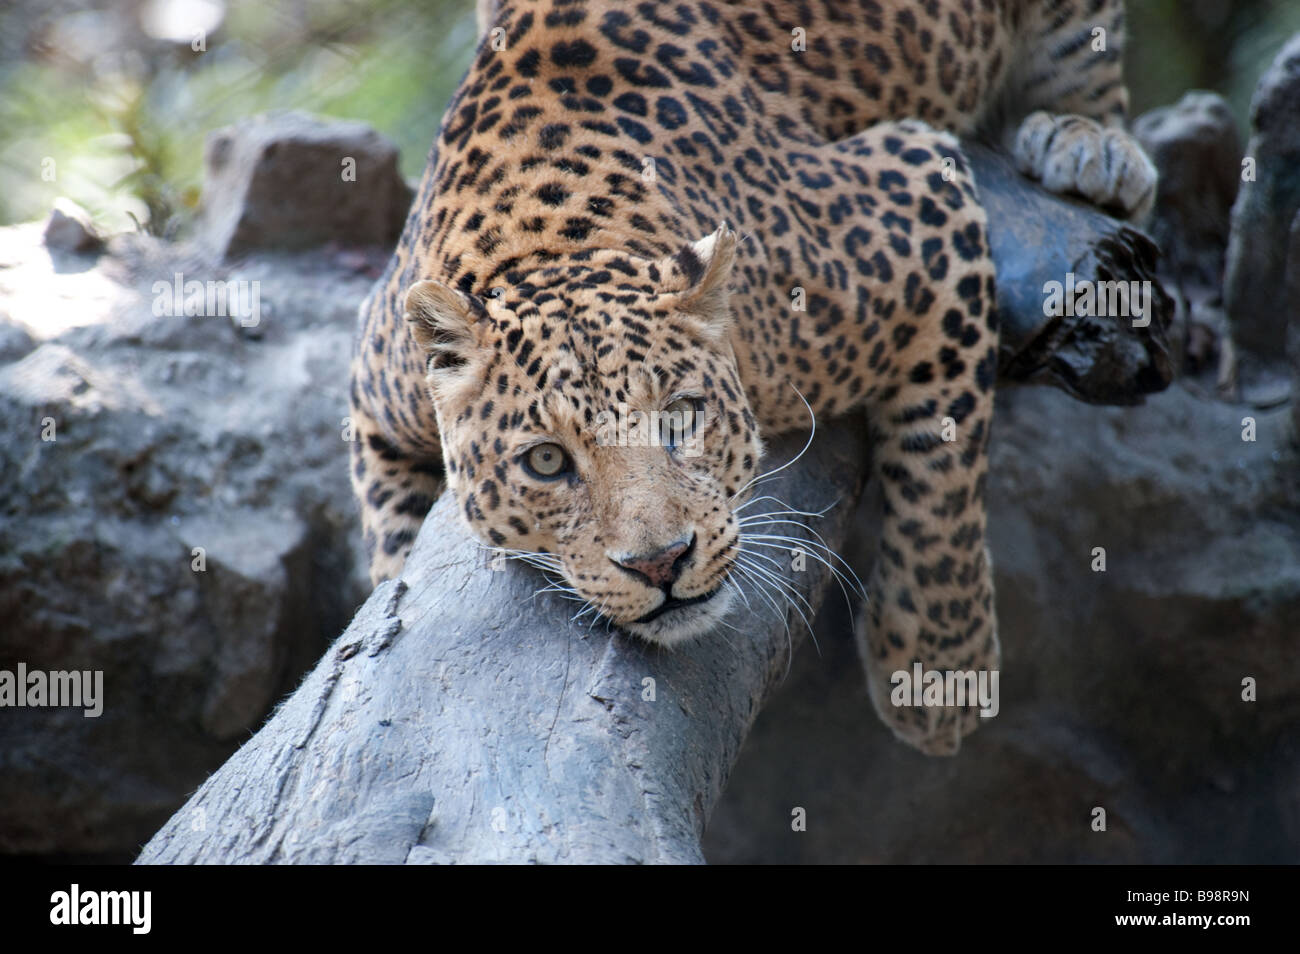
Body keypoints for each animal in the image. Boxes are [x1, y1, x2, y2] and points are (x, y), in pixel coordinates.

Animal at [348, 0, 1157, 755]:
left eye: (681, 417)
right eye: (547, 462)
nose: (661, 563)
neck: (543, 245)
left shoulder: (916, 186)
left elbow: (944, 459)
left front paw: (935, 664)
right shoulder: (372, 387)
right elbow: (387, 541)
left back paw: (1090, 146)